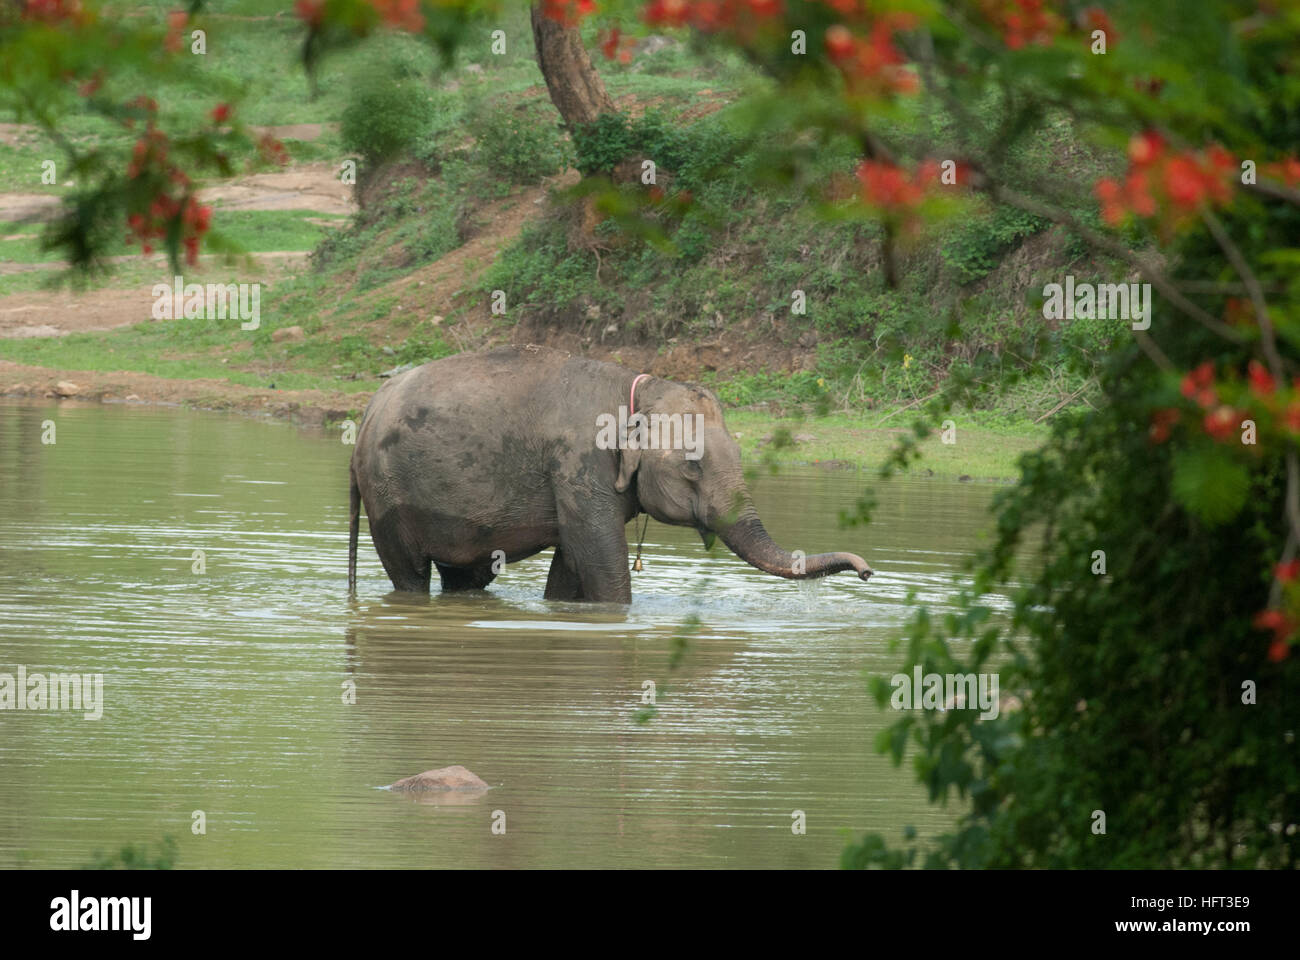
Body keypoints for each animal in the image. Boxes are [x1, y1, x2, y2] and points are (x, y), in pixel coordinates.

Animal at [348, 344, 873, 603]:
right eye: (693, 464)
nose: (868, 572)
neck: (639, 390)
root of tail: (370, 407)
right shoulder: (578, 465)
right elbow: (599, 558)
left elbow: (571, 563)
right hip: (387, 494)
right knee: (409, 573)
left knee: (464, 576)